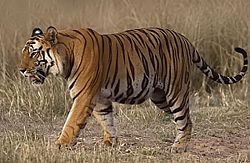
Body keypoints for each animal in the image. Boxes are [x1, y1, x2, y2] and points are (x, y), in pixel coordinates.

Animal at [19, 26, 248, 152]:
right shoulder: (99, 98)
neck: (66, 55)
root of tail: (185, 39)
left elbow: (72, 122)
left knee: (185, 119)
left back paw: (179, 147)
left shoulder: (84, 96)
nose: (21, 70)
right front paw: (109, 143)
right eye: (24, 53)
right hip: (160, 97)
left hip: (176, 91)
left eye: (33, 53)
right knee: (184, 118)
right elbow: (107, 120)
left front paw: (60, 145)